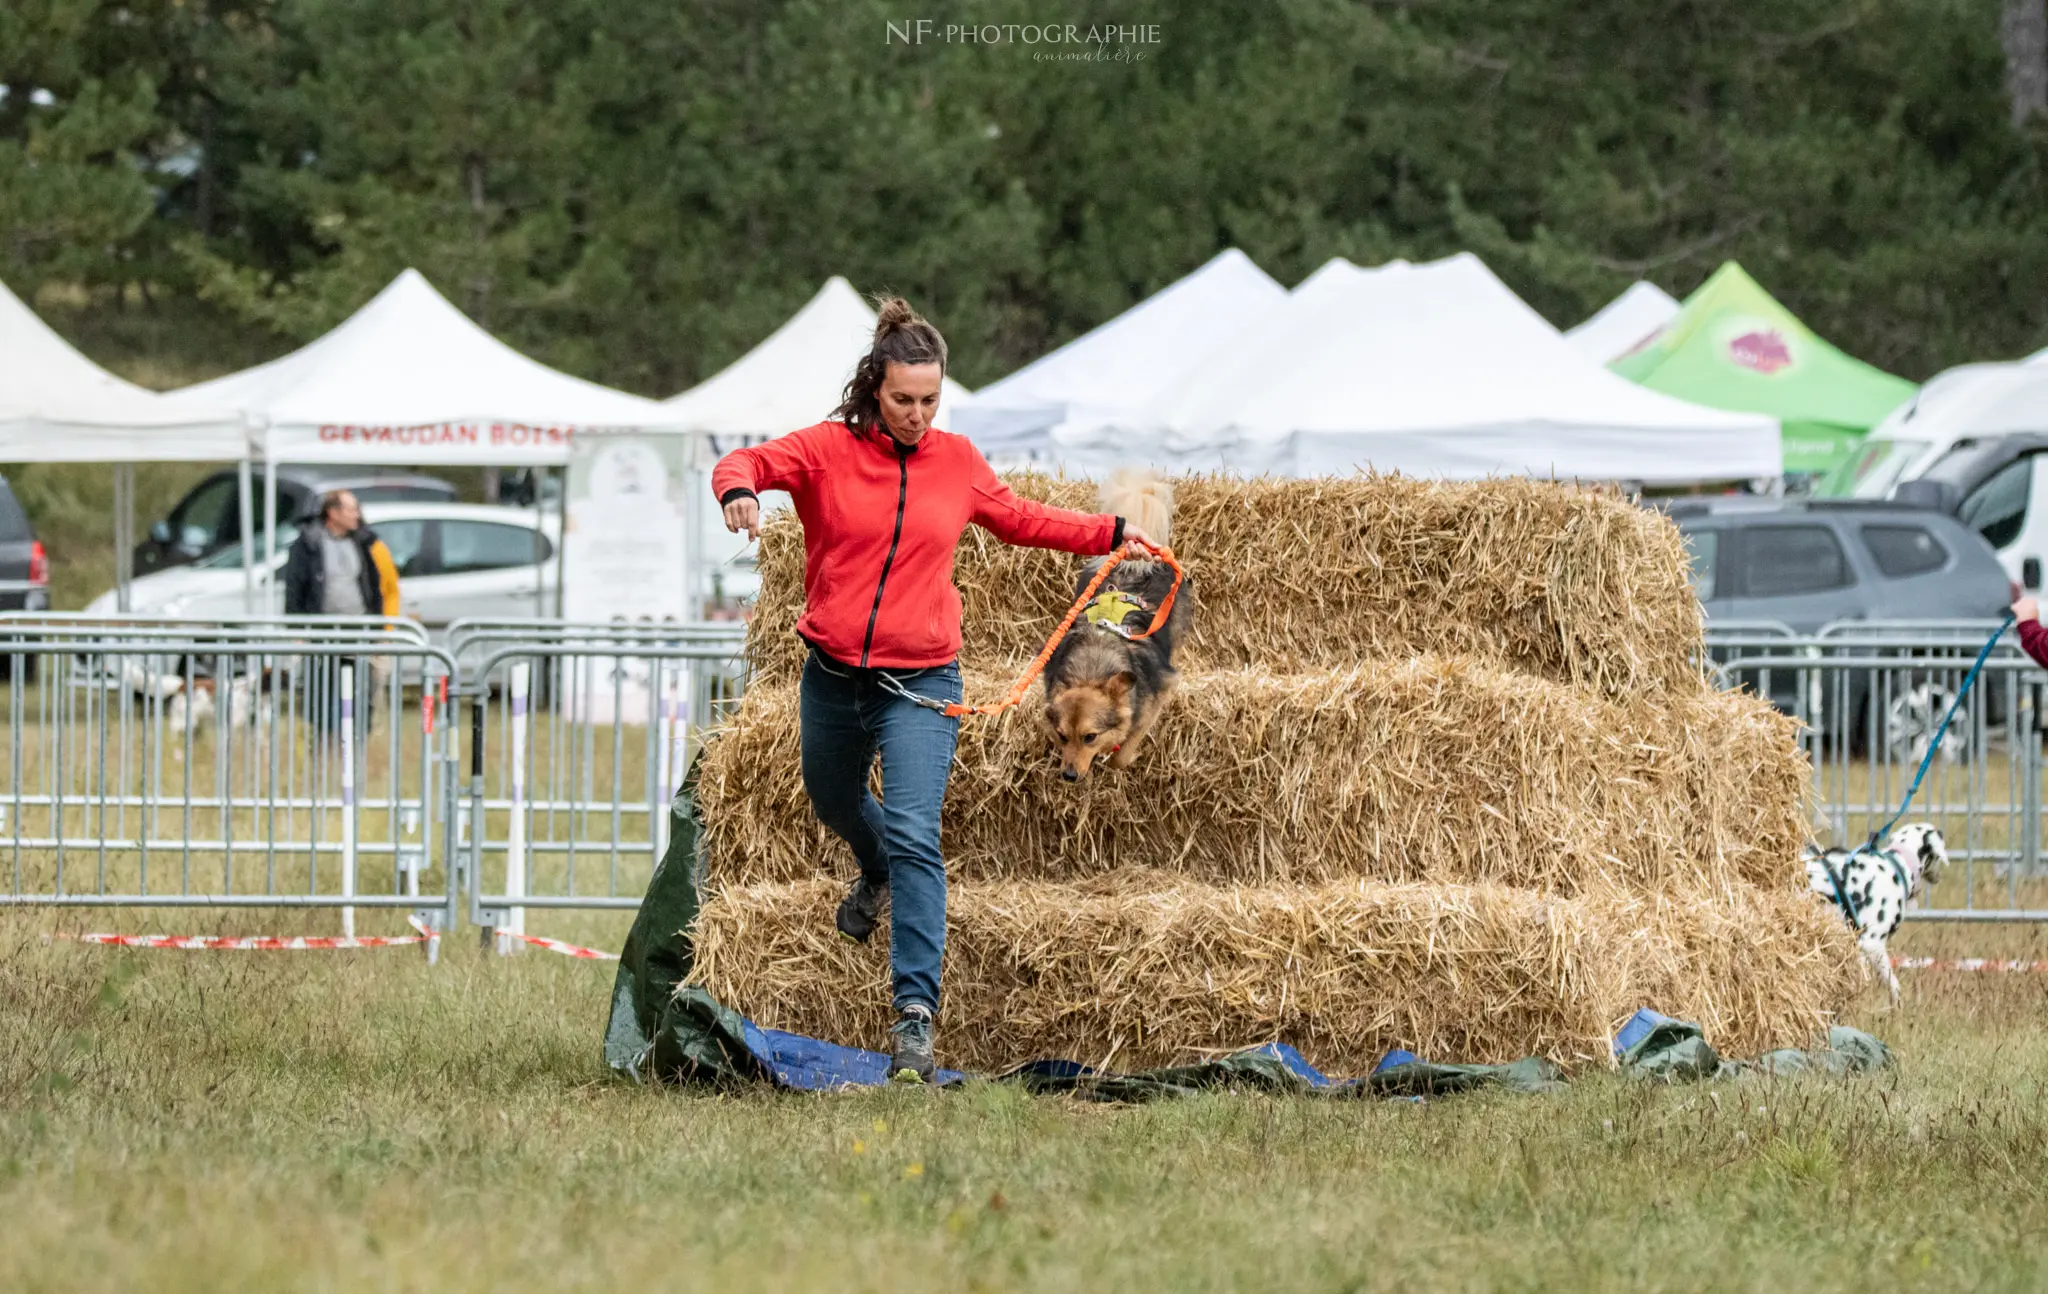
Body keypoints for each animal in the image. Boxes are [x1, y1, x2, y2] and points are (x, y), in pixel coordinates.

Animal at [1048, 470, 1196, 782]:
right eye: (1063, 736)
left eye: (1090, 737)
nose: (1069, 775)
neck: (1091, 669)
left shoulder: (1158, 691)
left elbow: (1125, 749)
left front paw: (1120, 755)